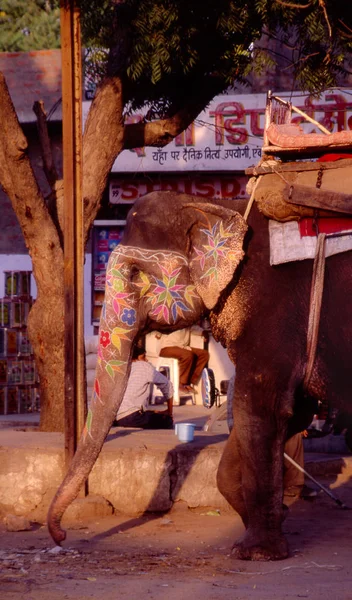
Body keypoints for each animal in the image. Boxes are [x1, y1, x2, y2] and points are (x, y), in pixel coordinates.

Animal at [48, 191, 350, 564]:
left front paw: (256, 553)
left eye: (133, 273)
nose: (62, 536)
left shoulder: (273, 315)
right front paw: (277, 516)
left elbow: (257, 410)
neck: (219, 206)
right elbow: (288, 415)